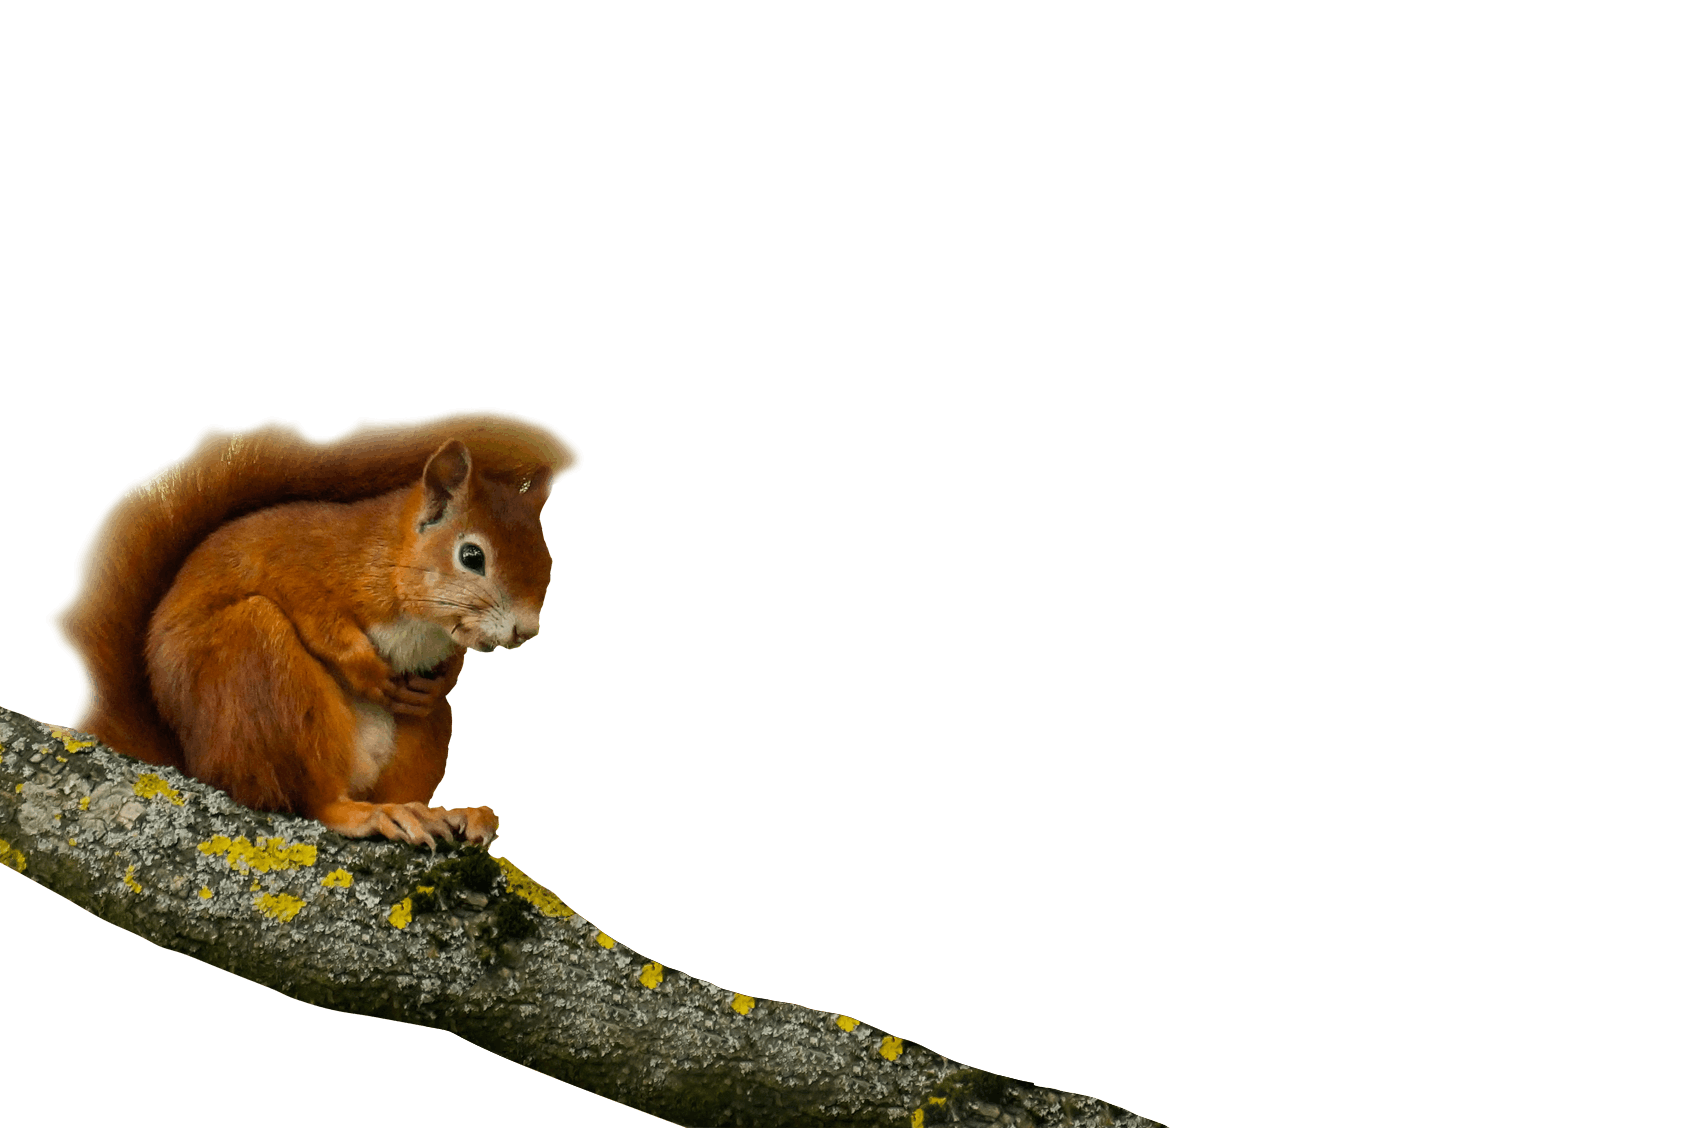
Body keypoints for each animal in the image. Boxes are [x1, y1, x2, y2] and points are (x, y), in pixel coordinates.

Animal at [48, 411, 582, 850]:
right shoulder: (294, 563)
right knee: (308, 800)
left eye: (546, 560)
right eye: (471, 556)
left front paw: (437, 682)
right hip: (256, 668)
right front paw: (366, 669)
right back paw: (366, 814)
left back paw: (442, 812)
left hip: (420, 734)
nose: (525, 630)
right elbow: (320, 621)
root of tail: (196, 763)